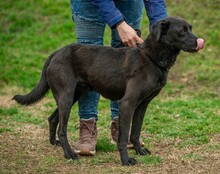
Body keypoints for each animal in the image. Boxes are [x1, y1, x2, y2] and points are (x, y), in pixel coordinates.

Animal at [12, 16, 204, 166]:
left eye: (191, 28)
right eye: (182, 31)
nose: (199, 42)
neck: (151, 57)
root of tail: (55, 53)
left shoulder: (142, 105)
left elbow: (135, 132)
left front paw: (139, 151)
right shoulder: (127, 103)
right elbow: (124, 136)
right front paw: (126, 160)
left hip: (73, 95)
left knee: (52, 119)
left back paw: (55, 143)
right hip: (66, 96)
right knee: (62, 128)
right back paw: (69, 154)